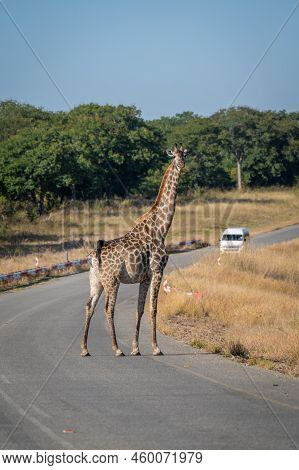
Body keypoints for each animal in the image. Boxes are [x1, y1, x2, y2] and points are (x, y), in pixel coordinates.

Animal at [81, 144, 189, 356]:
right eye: (174, 156)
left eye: (185, 155)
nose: (181, 164)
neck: (161, 228)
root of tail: (93, 256)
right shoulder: (157, 270)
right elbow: (153, 308)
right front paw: (155, 348)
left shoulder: (144, 277)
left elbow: (140, 309)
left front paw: (136, 348)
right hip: (112, 280)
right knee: (108, 308)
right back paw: (116, 349)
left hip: (96, 280)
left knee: (89, 305)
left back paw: (85, 349)